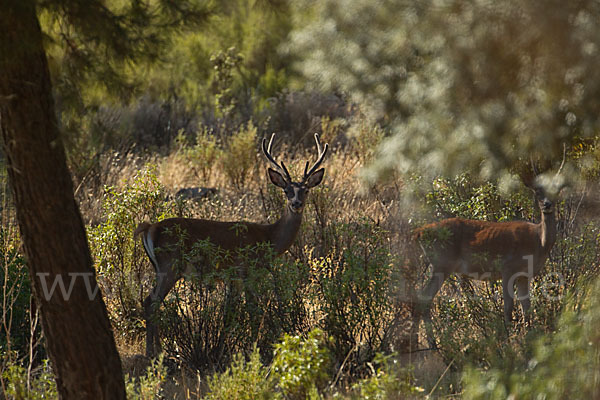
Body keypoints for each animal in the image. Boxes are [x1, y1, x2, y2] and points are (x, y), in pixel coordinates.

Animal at [135, 134, 328, 356]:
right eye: (287, 190)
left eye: (306, 191)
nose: (296, 204)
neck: (268, 238)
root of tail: (150, 227)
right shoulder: (246, 271)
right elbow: (252, 310)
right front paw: (255, 347)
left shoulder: (233, 278)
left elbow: (233, 312)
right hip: (170, 265)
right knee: (151, 302)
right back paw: (152, 352)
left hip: (162, 268)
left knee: (151, 301)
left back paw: (159, 350)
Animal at [414, 173, 564, 346]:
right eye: (537, 191)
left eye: (556, 190)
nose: (547, 204)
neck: (538, 242)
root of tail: (420, 232)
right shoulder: (507, 268)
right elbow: (508, 307)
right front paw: (509, 340)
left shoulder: (524, 275)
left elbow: (526, 307)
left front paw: (529, 336)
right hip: (442, 263)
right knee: (424, 298)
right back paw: (430, 345)